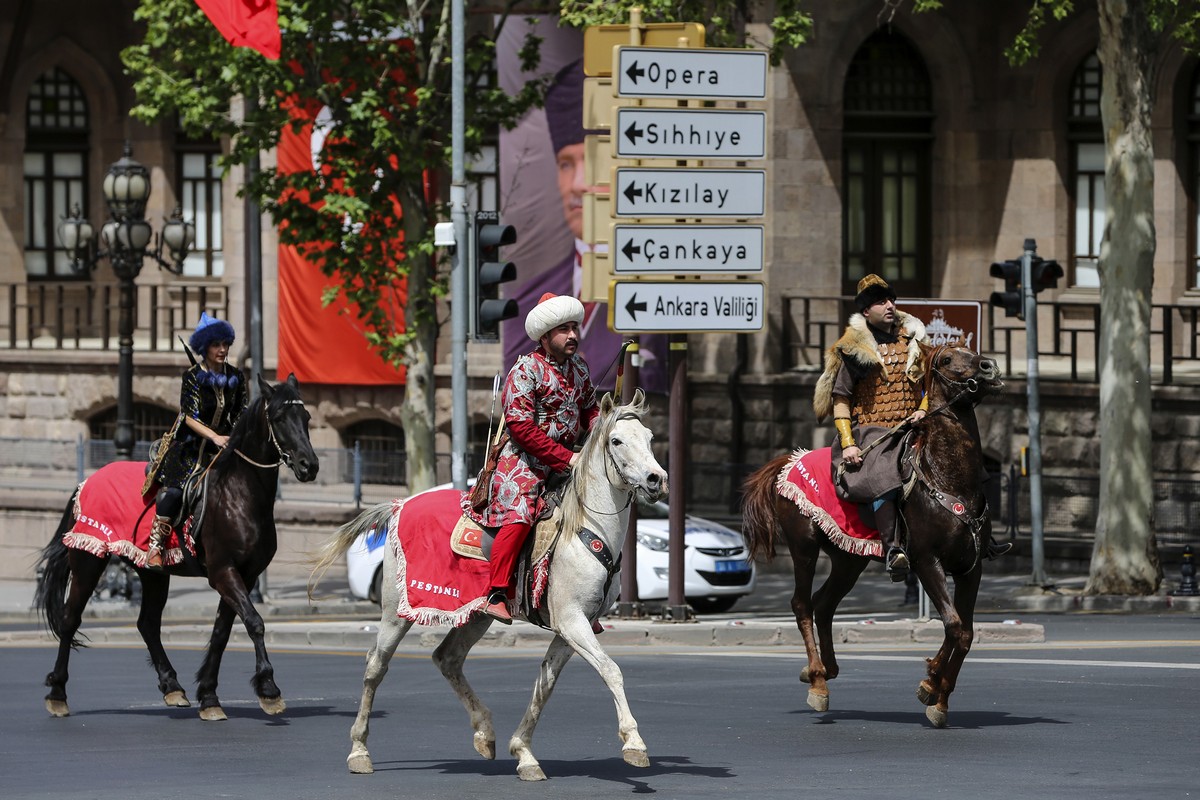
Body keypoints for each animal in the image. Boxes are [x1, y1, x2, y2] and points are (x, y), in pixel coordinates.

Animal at [35, 374, 319, 719]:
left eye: (306, 418)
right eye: (278, 418)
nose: (309, 465)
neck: (240, 495)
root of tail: (85, 482)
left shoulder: (246, 575)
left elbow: (222, 632)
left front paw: (209, 696)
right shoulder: (224, 572)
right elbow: (254, 623)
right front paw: (268, 688)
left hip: (151, 572)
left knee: (147, 624)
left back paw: (172, 686)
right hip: (89, 559)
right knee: (70, 619)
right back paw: (58, 693)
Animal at [312, 388, 667, 782]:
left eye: (650, 437)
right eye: (616, 440)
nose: (656, 478)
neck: (587, 527)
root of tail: (400, 504)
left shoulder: (576, 626)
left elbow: (545, 684)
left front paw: (524, 752)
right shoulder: (572, 620)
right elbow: (611, 670)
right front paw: (634, 742)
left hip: (477, 614)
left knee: (447, 659)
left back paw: (485, 733)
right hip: (397, 609)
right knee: (376, 665)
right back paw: (359, 750)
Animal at [739, 340, 1003, 729]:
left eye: (971, 351)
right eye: (946, 359)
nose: (989, 367)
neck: (949, 477)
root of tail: (789, 462)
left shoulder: (971, 568)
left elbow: (966, 633)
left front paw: (939, 699)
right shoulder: (927, 562)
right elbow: (954, 624)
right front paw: (930, 682)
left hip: (849, 560)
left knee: (824, 604)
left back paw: (826, 669)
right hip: (804, 548)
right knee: (802, 604)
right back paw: (817, 680)